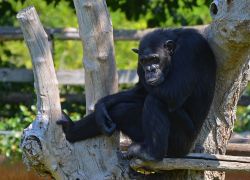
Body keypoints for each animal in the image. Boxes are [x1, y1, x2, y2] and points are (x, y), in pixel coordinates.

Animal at [56, 27, 215, 160]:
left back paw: (151, 153)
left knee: (155, 101)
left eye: (155, 59)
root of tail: (189, 150)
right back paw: (71, 130)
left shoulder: (191, 49)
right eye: (144, 61)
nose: (150, 69)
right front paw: (101, 105)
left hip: (180, 143)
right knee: (120, 110)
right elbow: (139, 91)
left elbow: (173, 92)